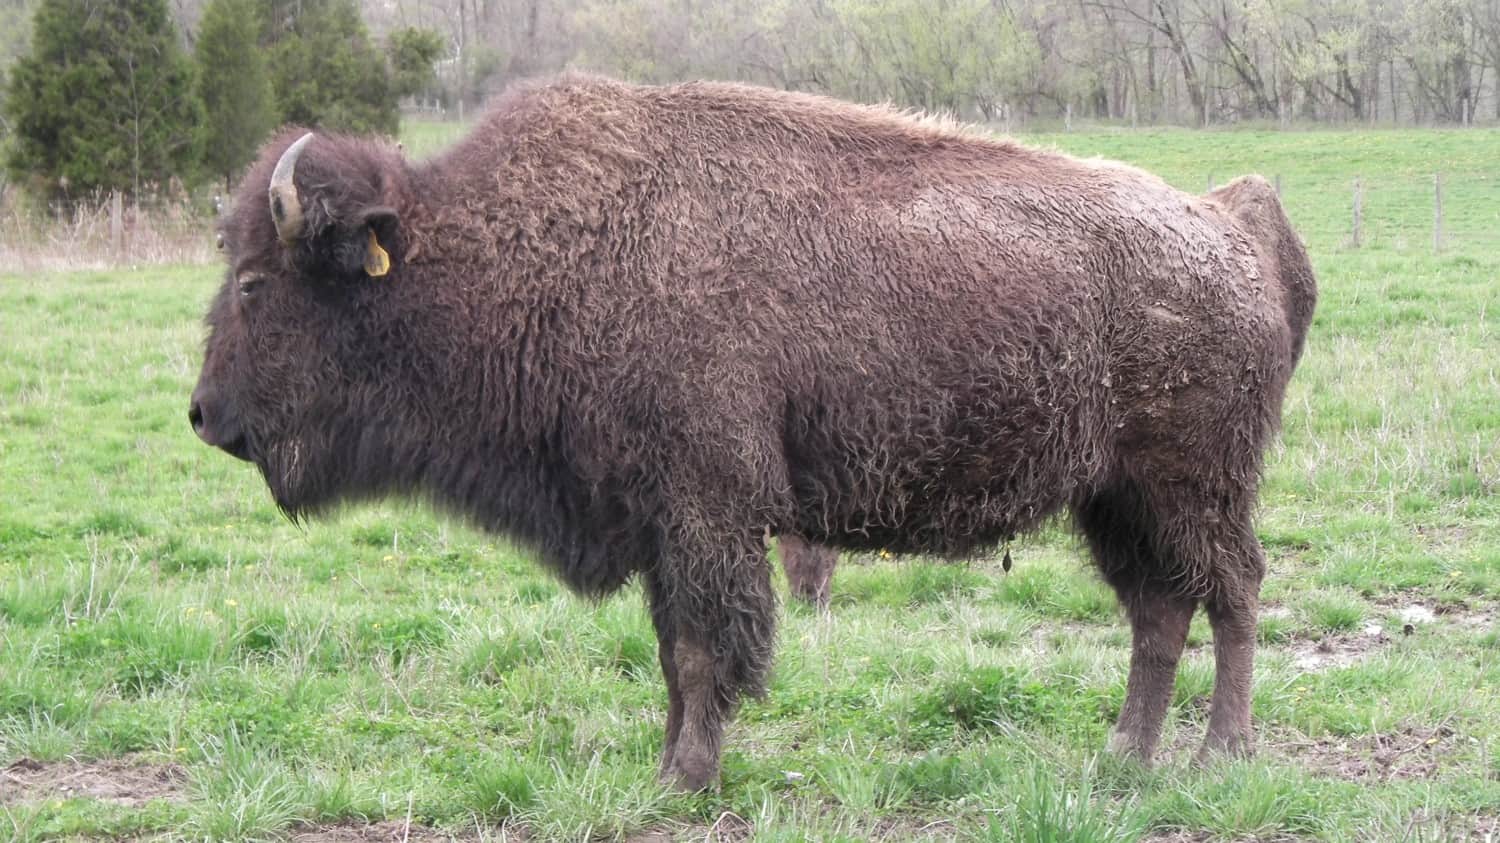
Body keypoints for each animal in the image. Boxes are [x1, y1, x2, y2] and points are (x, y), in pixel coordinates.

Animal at [187, 73, 1314, 786]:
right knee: (1159, 614)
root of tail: (1231, 226)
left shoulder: (707, 514)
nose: (203, 415)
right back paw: (1124, 759)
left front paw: (689, 777)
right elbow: (669, 651)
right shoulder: (656, 523)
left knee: (1233, 595)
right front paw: (665, 766)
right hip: (1114, 501)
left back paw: (1220, 756)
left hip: (1193, 488)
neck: (534, 250)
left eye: (254, 285)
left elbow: (703, 649)